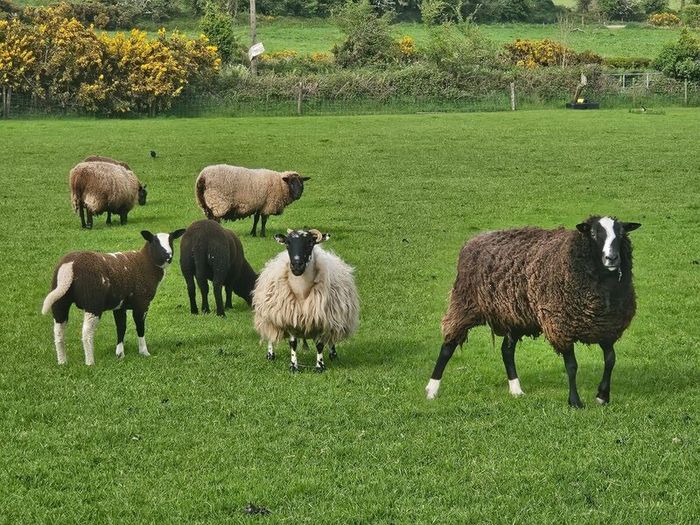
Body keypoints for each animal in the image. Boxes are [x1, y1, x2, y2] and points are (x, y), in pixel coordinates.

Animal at [41, 229, 185, 365]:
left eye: (171, 240)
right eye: (155, 242)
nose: (168, 256)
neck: (146, 262)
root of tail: (69, 266)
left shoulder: (120, 306)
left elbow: (121, 327)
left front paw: (120, 354)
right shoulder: (142, 303)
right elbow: (140, 327)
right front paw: (144, 352)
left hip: (60, 300)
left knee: (58, 331)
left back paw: (62, 361)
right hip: (92, 302)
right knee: (86, 333)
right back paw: (90, 362)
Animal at [253, 229, 359, 372]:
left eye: (310, 243)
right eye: (287, 243)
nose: (297, 265)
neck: (302, 292)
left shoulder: (321, 318)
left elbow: (320, 344)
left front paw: (320, 366)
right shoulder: (289, 319)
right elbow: (293, 344)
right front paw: (293, 367)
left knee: (330, 337)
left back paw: (333, 354)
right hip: (270, 314)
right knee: (270, 333)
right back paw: (270, 354)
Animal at [425, 216, 641, 408]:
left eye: (622, 233)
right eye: (594, 233)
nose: (612, 258)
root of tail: (474, 240)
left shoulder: (606, 328)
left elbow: (610, 360)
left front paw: (602, 396)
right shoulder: (561, 326)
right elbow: (572, 366)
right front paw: (575, 401)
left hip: (515, 315)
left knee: (506, 351)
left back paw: (516, 390)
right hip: (465, 303)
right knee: (448, 345)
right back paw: (432, 390)